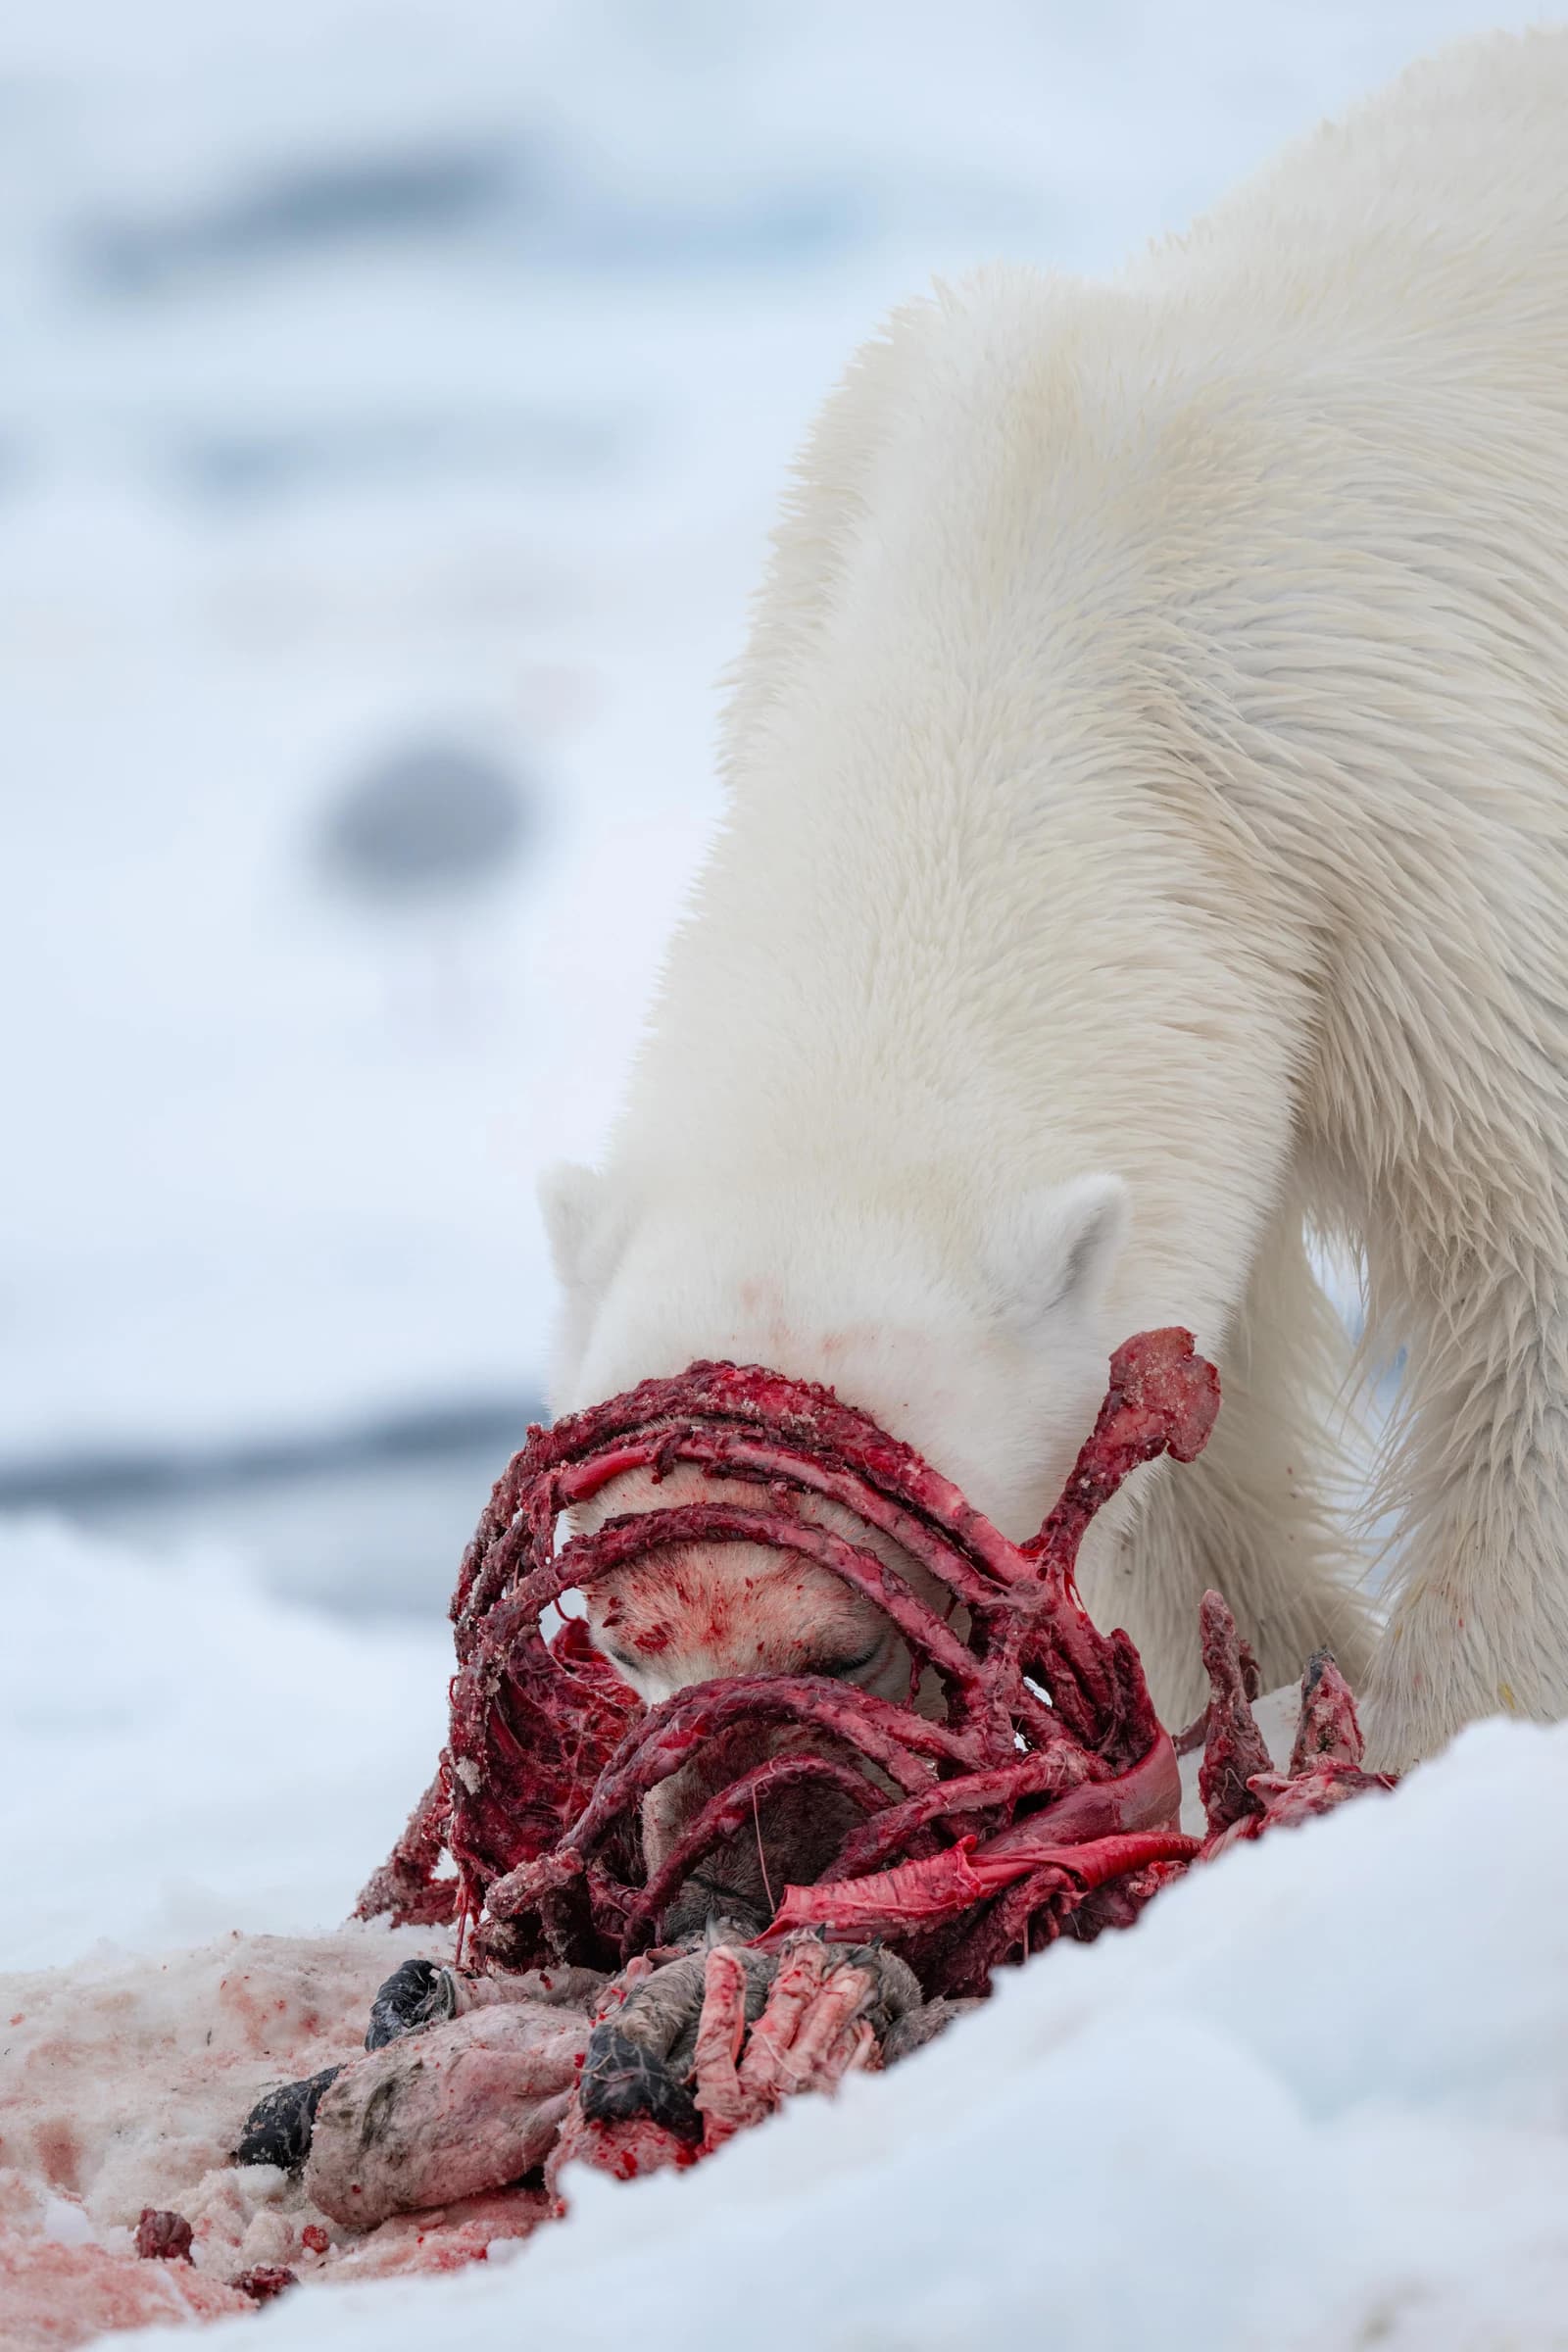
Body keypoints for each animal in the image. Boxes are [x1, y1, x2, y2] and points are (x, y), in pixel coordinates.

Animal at [541, 27, 1568, 1781]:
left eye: (846, 1633)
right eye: (624, 1631)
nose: (749, 1818)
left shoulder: (1409, 814)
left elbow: (1526, 1237)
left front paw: (1447, 1721)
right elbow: (1187, 1359)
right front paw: (1267, 1670)